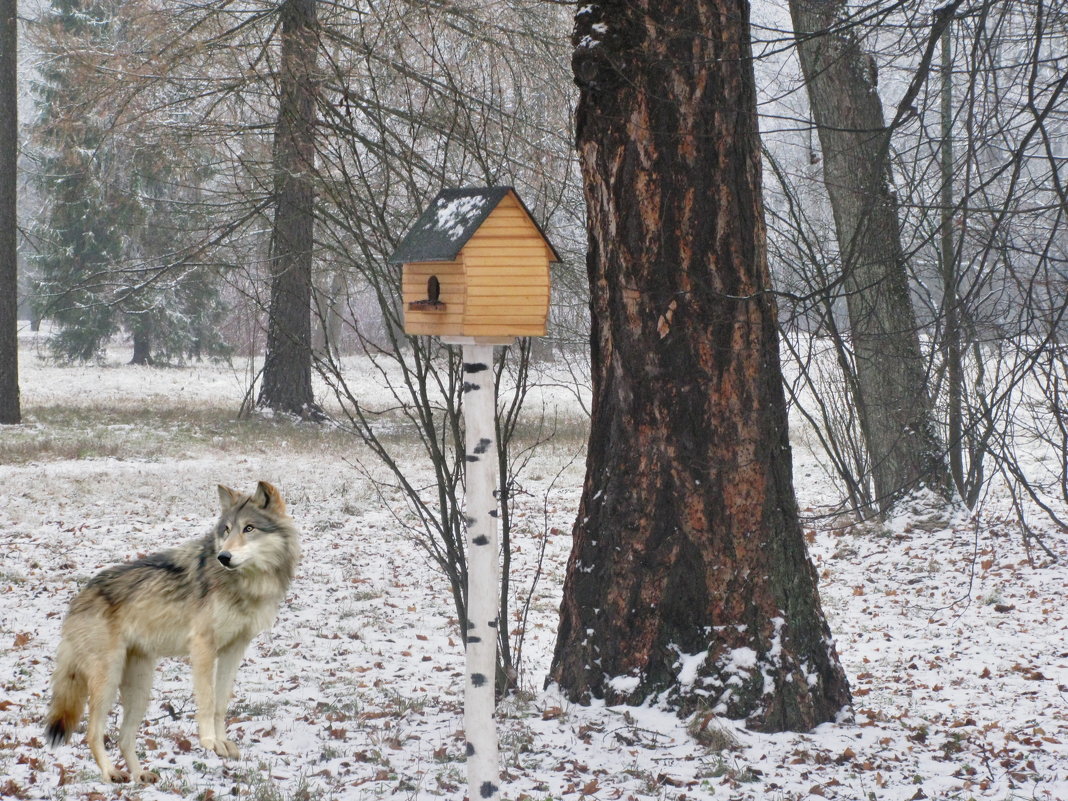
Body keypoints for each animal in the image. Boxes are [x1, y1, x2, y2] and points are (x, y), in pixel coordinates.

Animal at [43, 482, 299, 786]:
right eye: (226, 530)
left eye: (249, 528)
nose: (223, 557)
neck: (246, 583)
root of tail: (79, 597)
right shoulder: (203, 646)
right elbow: (207, 699)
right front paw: (209, 741)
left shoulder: (235, 648)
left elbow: (221, 702)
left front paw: (223, 743)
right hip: (107, 680)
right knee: (93, 734)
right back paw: (110, 773)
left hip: (140, 689)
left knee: (123, 738)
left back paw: (140, 775)